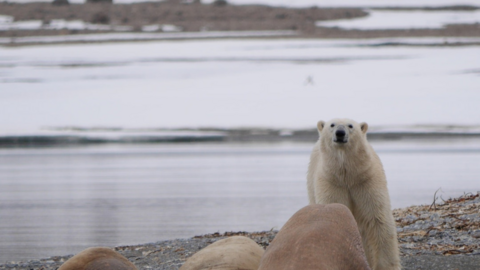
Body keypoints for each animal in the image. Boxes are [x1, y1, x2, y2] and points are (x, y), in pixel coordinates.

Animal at [308, 118, 402, 270]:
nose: (340, 133)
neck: (348, 176)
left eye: (350, 126)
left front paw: (386, 266)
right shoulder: (332, 183)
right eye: (332, 125)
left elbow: (377, 219)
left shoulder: (366, 181)